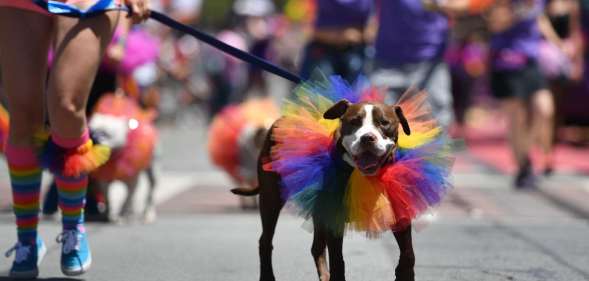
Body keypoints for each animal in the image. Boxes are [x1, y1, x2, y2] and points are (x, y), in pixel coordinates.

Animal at [232, 99, 416, 280]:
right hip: (271, 198)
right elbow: (337, 260)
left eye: (384, 122)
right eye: (354, 122)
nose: (367, 138)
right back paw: (267, 276)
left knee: (317, 246)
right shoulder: (334, 217)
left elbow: (408, 253)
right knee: (265, 241)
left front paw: (404, 274)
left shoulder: (399, 211)